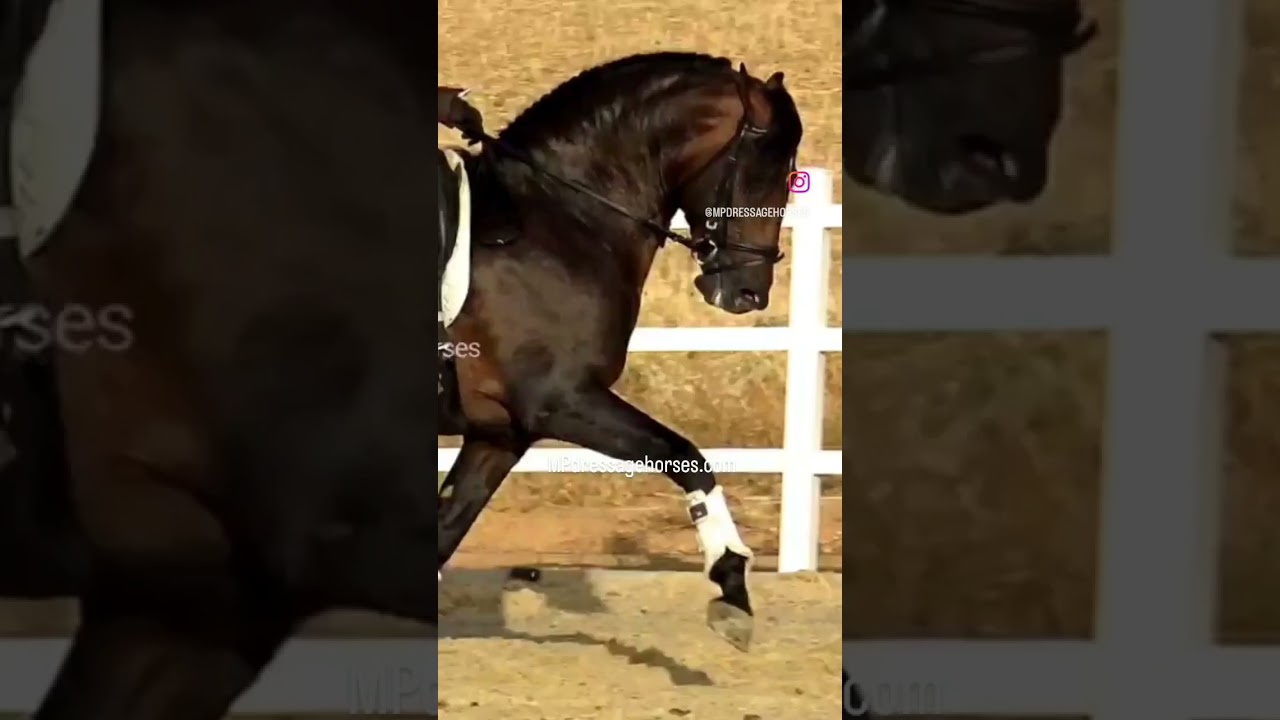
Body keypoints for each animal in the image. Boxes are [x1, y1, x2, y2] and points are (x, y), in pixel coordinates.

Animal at [436, 52, 803, 652]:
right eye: (765, 169)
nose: (750, 292)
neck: (564, 219)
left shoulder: (501, 432)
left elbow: (445, 531)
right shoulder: (561, 401)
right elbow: (685, 455)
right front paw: (731, 584)